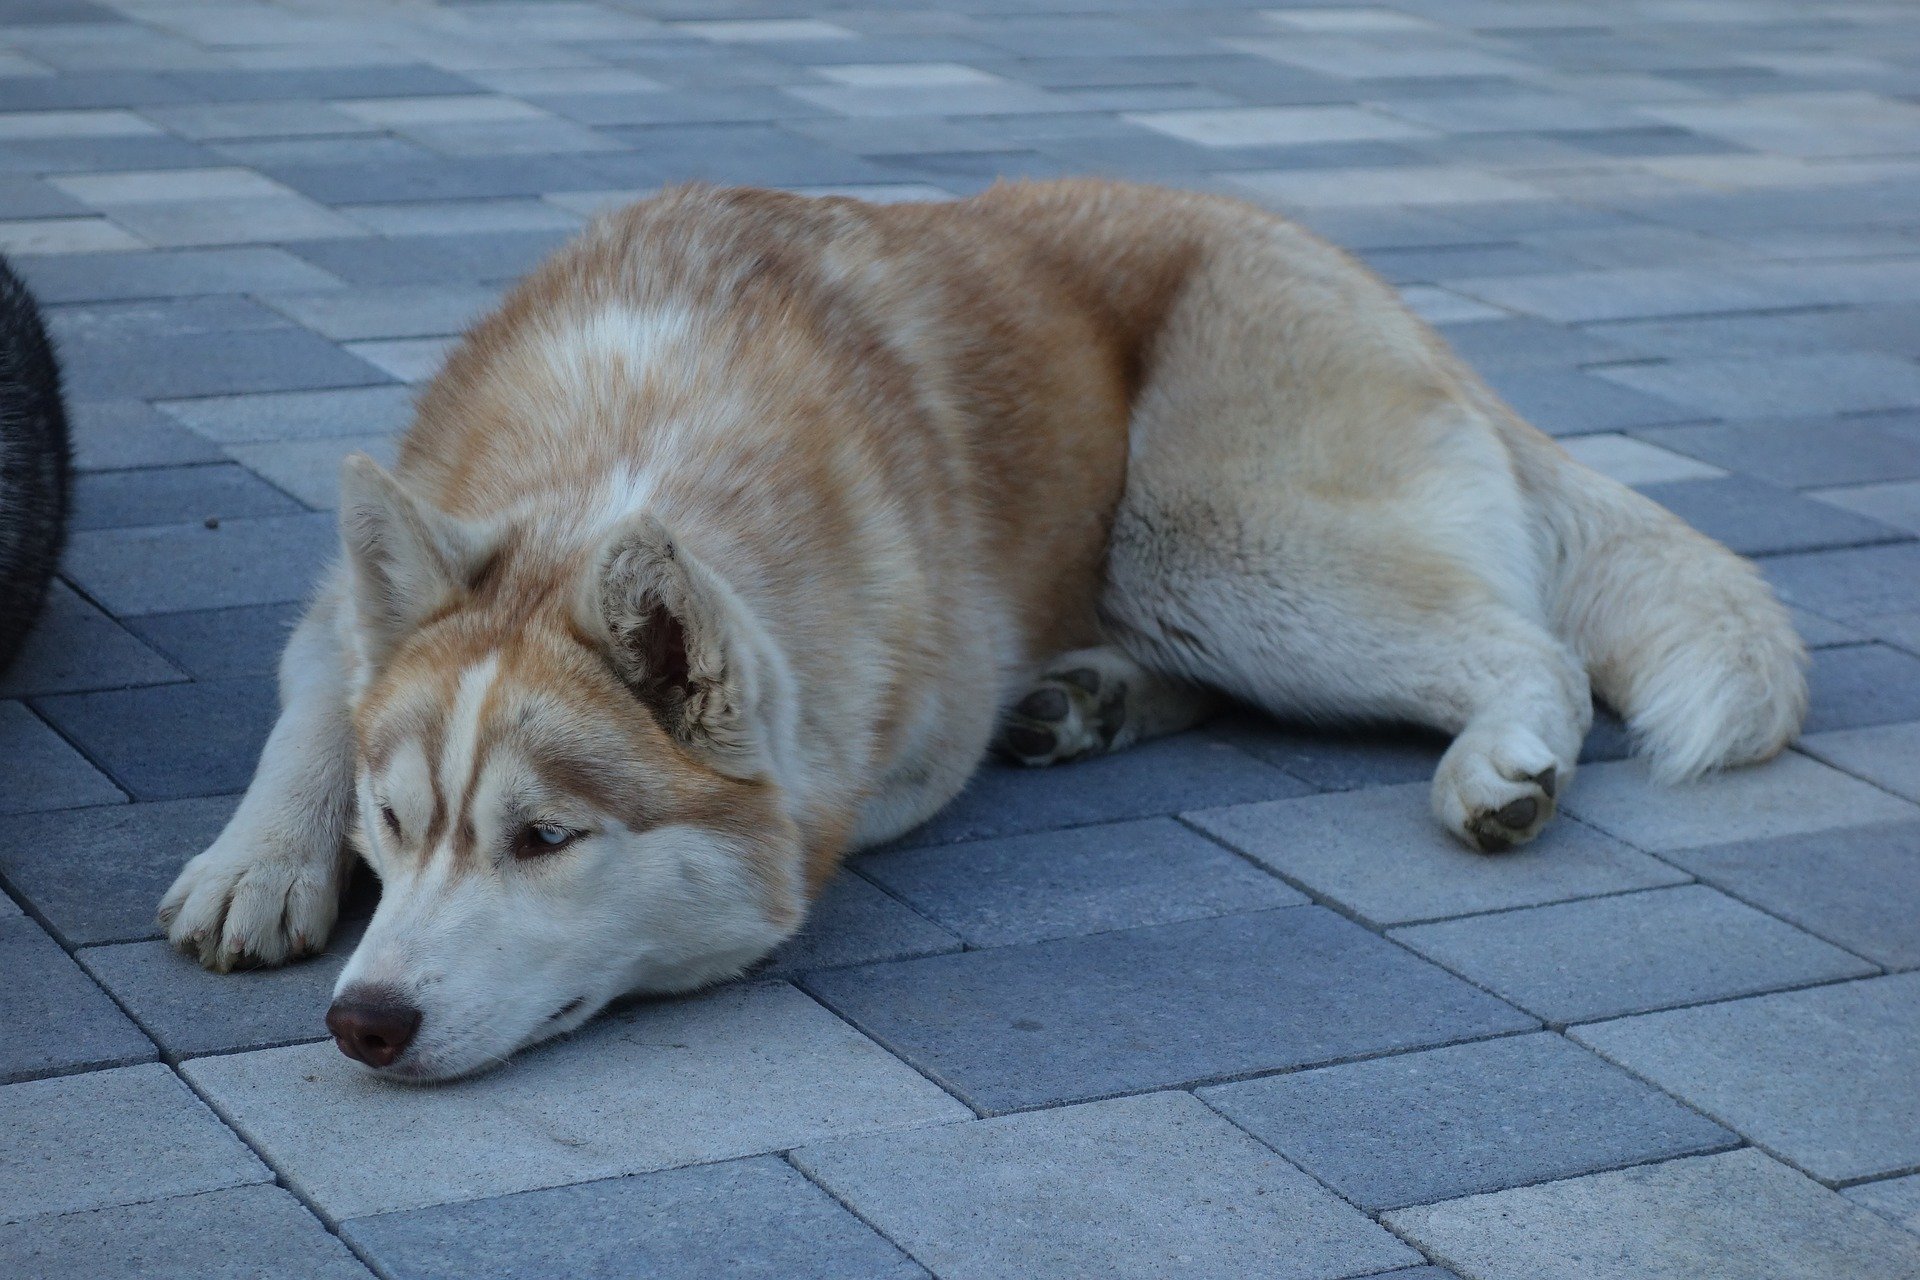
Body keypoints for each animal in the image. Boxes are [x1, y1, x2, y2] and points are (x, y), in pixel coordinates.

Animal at [157, 180, 1804, 1082]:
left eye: (545, 841)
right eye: (393, 824)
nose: (364, 1022)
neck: (629, 443)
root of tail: (1369, 279)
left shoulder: (887, 744)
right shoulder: (338, 610)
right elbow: (311, 705)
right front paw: (260, 862)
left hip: (1214, 536)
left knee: (1529, 646)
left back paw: (1501, 768)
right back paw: (1090, 700)